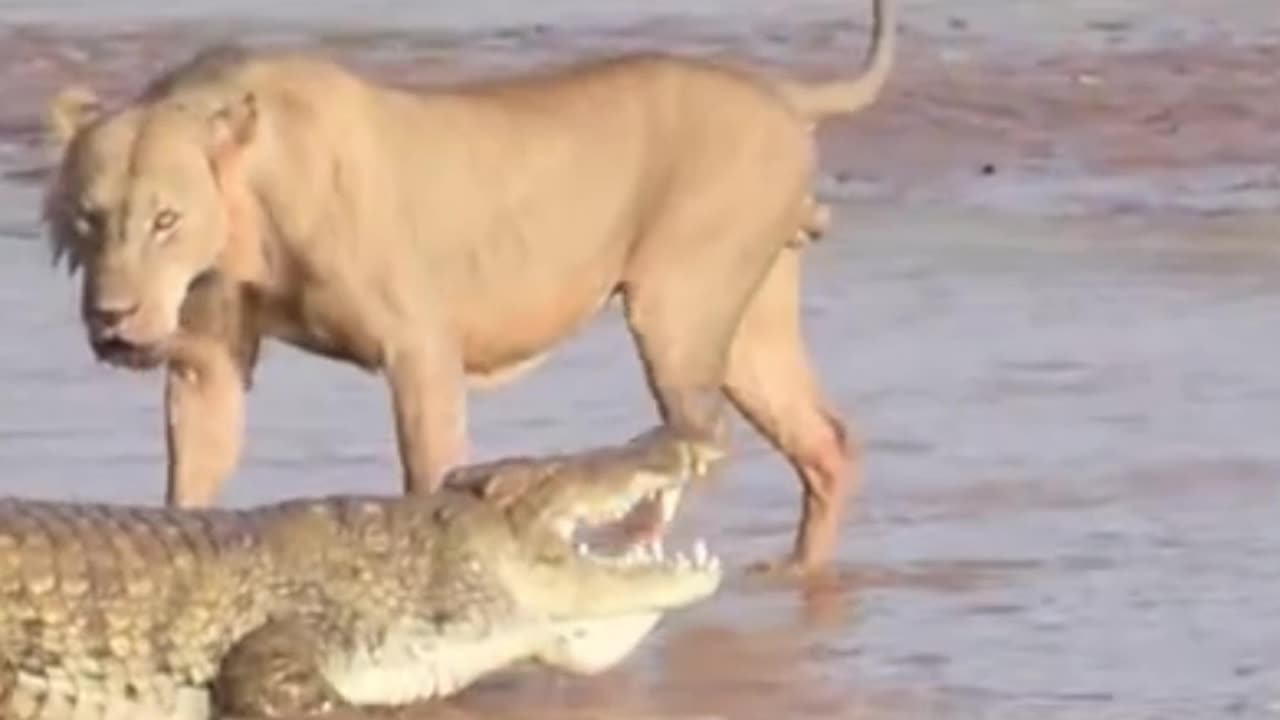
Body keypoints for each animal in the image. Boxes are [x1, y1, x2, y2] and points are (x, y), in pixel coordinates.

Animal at [42, 0, 901, 571]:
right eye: (90, 217)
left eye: (166, 219)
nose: (112, 318)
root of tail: (779, 93)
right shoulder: (208, 361)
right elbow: (192, 474)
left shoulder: (418, 346)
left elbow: (428, 468)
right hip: (749, 321)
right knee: (823, 441)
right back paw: (798, 573)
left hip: (677, 303)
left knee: (701, 434)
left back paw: (631, 541)